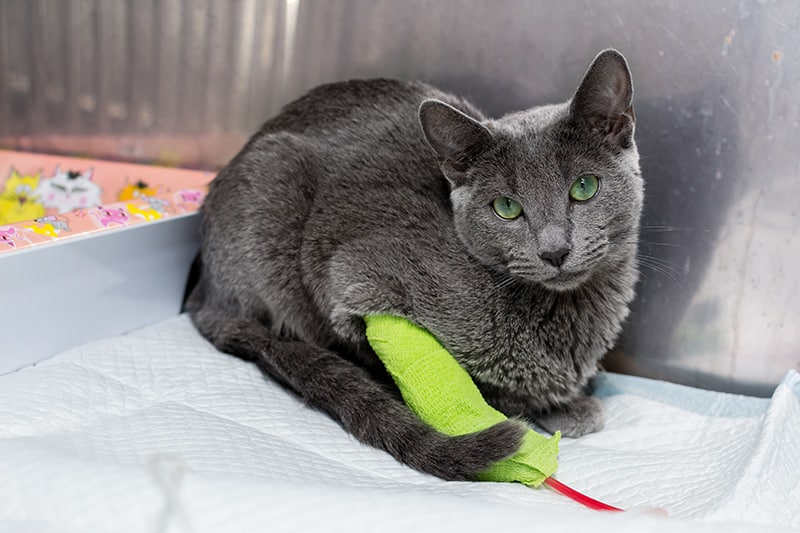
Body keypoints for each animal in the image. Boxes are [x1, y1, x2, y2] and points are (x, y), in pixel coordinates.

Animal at [184, 48, 640, 482]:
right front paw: (561, 406)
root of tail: (202, 289)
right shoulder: (348, 273)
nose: (554, 250)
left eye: (585, 187)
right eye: (507, 208)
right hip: (274, 188)